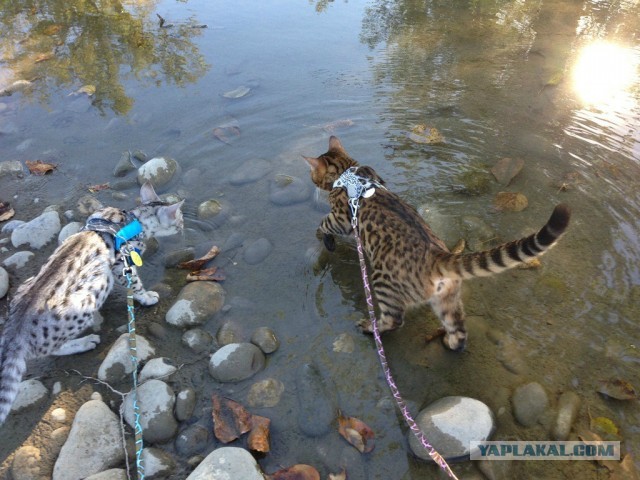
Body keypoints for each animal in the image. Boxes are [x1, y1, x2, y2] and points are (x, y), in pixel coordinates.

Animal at [304, 137, 568, 350]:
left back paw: (371, 327)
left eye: (312, 174)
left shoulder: (340, 218)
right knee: (459, 330)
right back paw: (451, 344)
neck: (348, 172)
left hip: (383, 284)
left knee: (394, 320)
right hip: (447, 300)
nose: (311, 180)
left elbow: (324, 223)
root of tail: (437, 256)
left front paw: (322, 237)